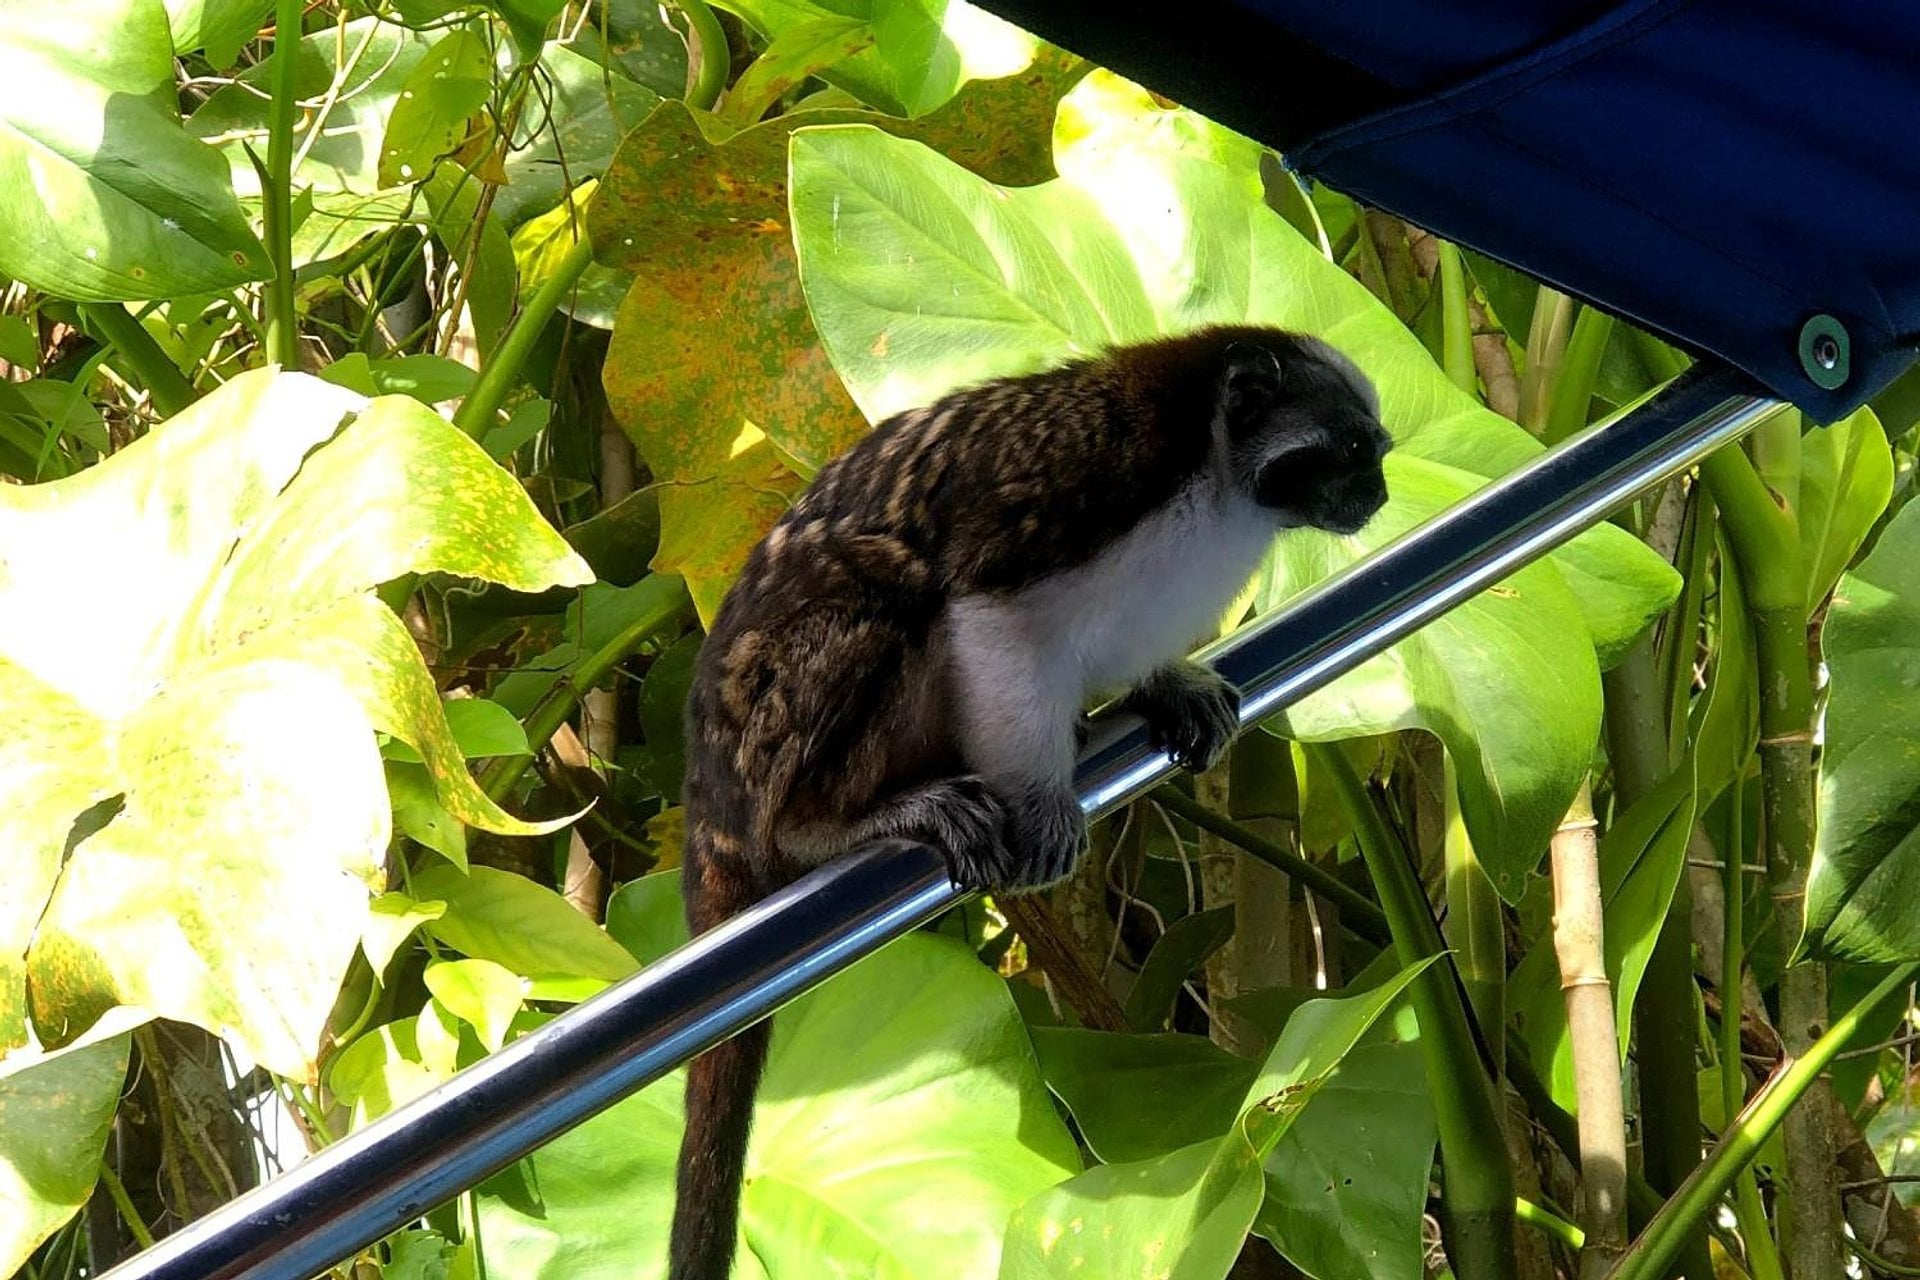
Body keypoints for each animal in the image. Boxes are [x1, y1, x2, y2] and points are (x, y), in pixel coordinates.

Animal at [668, 324, 1392, 1279]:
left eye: (1378, 456)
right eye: (1346, 454)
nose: (1381, 493)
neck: (1215, 473)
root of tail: (709, 784)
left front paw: (1166, 687)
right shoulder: (1091, 476)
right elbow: (988, 612)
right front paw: (1044, 802)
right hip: (764, 738)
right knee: (895, 587)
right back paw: (834, 822)